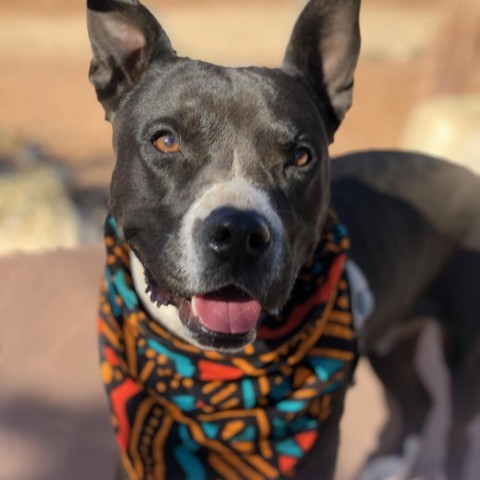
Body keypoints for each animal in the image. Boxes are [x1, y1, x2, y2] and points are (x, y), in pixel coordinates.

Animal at [88, 0, 480, 480]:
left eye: (301, 156)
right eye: (166, 141)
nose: (239, 234)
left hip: (466, 357)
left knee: (456, 427)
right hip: (393, 334)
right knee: (417, 400)